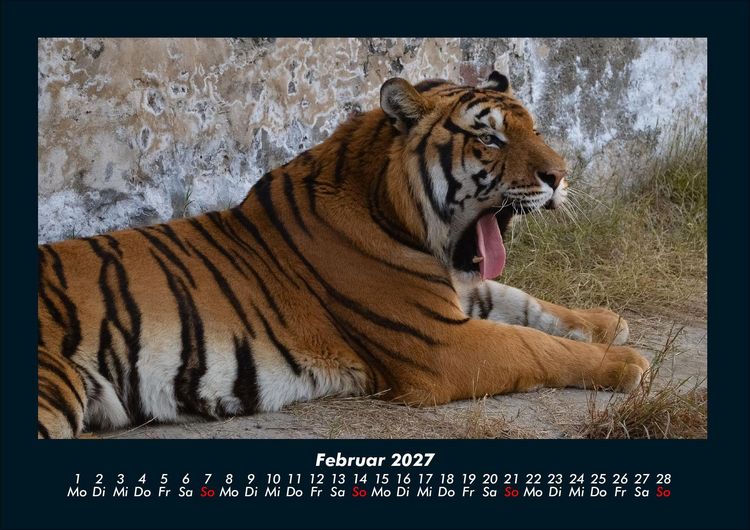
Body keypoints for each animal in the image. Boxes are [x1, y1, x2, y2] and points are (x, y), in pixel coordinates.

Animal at [38, 71, 649, 439]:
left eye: (535, 129)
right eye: (490, 140)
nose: (559, 176)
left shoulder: (458, 294)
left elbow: (523, 301)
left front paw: (606, 321)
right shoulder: (441, 343)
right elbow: (534, 345)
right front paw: (625, 362)